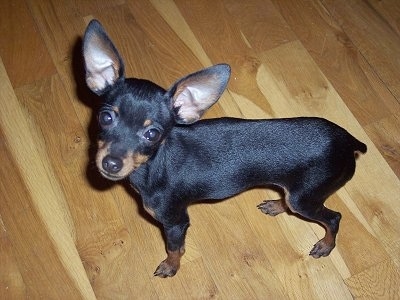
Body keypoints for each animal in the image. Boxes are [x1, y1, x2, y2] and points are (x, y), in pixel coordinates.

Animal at [82, 19, 368, 278]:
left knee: (333, 218)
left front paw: (171, 266)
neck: (153, 164)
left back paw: (326, 245)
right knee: (291, 200)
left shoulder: (175, 222)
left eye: (152, 134)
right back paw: (277, 205)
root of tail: (348, 140)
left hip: (305, 199)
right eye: (106, 117)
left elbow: (175, 249)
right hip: (298, 194)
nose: (111, 163)